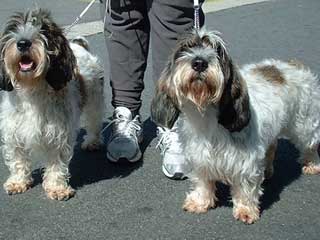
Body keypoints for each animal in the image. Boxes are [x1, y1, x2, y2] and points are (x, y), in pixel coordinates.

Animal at [0, 9, 104, 201]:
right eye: (15, 28)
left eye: (43, 30)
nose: (23, 43)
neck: (33, 87)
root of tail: (78, 44)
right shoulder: (13, 131)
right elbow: (18, 158)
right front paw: (18, 181)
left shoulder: (59, 133)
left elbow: (57, 162)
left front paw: (57, 187)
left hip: (95, 97)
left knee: (94, 121)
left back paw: (92, 141)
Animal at [151, 29, 320, 224]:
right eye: (186, 48)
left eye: (217, 51)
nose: (199, 63)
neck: (206, 114)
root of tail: (293, 63)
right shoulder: (199, 156)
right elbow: (202, 181)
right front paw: (200, 202)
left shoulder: (246, 162)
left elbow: (245, 187)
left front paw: (246, 210)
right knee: (272, 146)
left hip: (305, 124)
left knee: (311, 145)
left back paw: (312, 164)